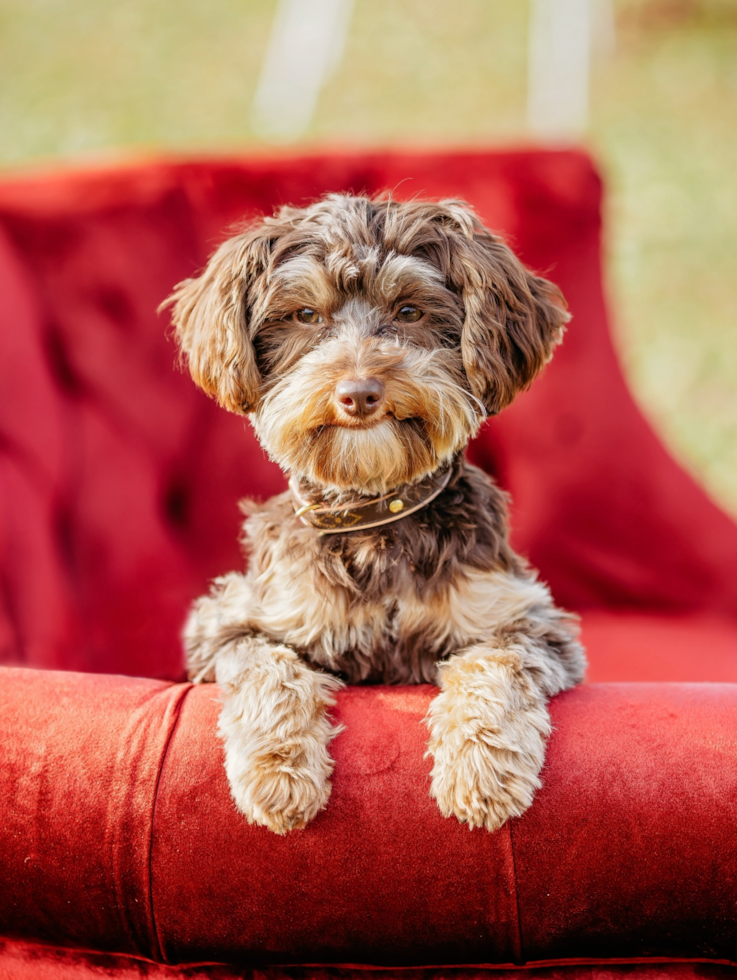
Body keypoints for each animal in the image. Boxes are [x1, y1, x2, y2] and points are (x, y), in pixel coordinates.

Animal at [164, 195, 584, 840]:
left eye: (409, 310)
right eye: (306, 314)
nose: (360, 393)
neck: (376, 518)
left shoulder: (531, 621)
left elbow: (494, 666)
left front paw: (481, 770)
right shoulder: (226, 624)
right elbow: (269, 668)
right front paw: (278, 776)